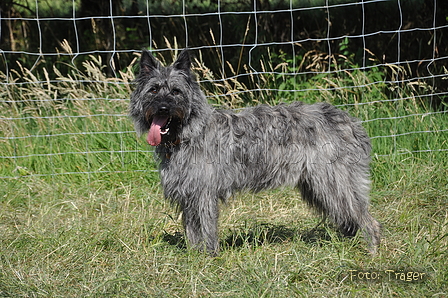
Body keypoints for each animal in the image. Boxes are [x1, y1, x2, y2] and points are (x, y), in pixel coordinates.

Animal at [128, 50, 380, 255]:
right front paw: (194, 255)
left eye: (176, 91)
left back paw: (373, 251)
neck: (189, 132)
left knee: (365, 218)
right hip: (318, 186)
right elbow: (192, 230)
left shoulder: (203, 194)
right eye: (153, 90)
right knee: (349, 218)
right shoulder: (188, 195)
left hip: (333, 183)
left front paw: (208, 257)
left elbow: (206, 227)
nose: (162, 108)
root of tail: (350, 122)